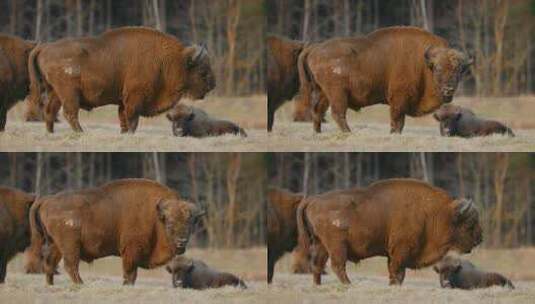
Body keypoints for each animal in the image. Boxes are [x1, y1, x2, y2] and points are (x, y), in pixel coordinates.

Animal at [28, 26, 217, 134]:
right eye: (202, 70)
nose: (212, 85)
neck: (169, 61)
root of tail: (45, 47)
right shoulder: (135, 97)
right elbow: (132, 118)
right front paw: (130, 134)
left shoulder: (123, 100)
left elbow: (123, 118)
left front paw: (124, 133)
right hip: (68, 93)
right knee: (69, 113)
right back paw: (81, 132)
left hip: (55, 92)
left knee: (50, 111)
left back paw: (51, 133)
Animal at [300, 26, 476, 134]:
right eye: (438, 68)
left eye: (458, 70)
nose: (448, 89)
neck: (423, 63)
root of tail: (315, 48)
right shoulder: (398, 99)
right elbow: (397, 121)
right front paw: (393, 133)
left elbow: (400, 122)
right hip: (337, 93)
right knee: (338, 113)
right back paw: (349, 133)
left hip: (322, 93)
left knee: (317, 112)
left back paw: (318, 133)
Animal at [300, 178, 484, 284]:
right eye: (470, 222)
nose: (480, 238)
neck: (438, 213)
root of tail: (313, 199)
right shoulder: (400, 251)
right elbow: (397, 272)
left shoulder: (393, 254)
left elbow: (395, 273)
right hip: (337, 246)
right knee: (337, 266)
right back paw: (348, 285)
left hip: (321, 245)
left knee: (317, 266)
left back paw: (318, 285)